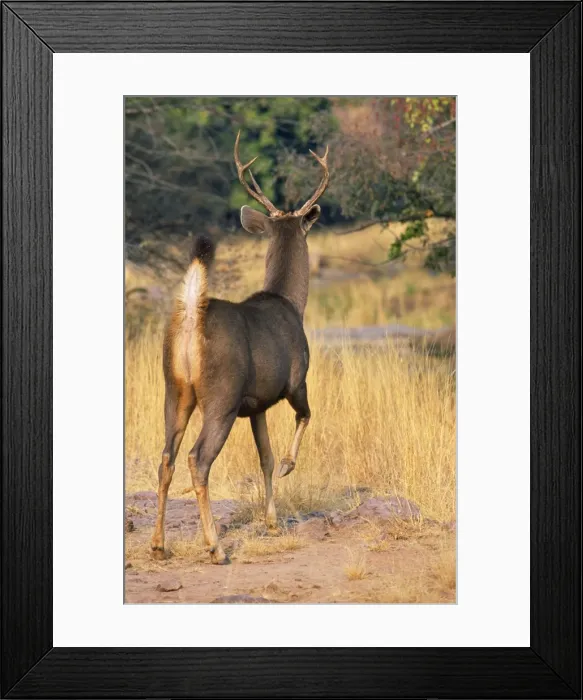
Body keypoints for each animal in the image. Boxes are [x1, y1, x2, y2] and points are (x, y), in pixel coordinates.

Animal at [151, 131, 329, 564]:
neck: (289, 303)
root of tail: (192, 317)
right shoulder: (295, 380)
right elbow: (305, 418)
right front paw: (289, 467)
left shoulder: (257, 403)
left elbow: (264, 456)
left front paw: (272, 521)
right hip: (221, 394)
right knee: (197, 459)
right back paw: (215, 547)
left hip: (174, 390)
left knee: (166, 457)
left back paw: (159, 545)